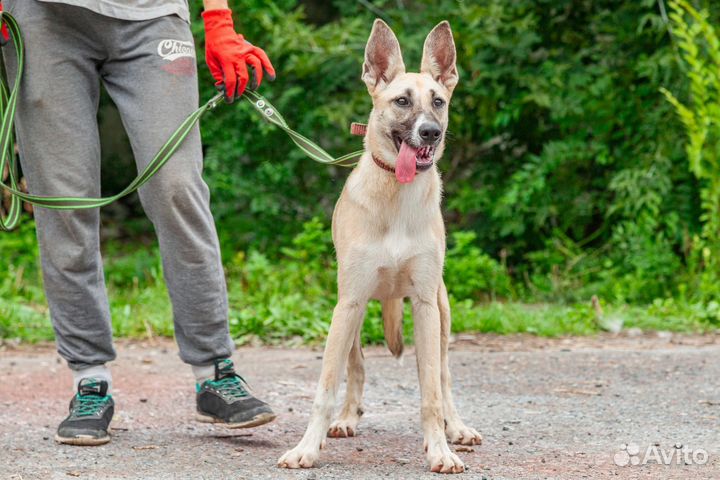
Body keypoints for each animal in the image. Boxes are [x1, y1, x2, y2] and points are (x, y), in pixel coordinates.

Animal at [278, 20, 480, 474]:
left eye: (438, 102)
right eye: (402, 101)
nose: (430, 132)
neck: (397, 197)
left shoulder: (424, 305)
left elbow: (431, 392)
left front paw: (440, 449)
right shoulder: (349, 301)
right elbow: (326, 387)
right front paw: (306, 448)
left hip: (441, 312)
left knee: (444, 376)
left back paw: (457, 427)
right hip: (350, 313)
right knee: (356, 367)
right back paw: (347, 418)